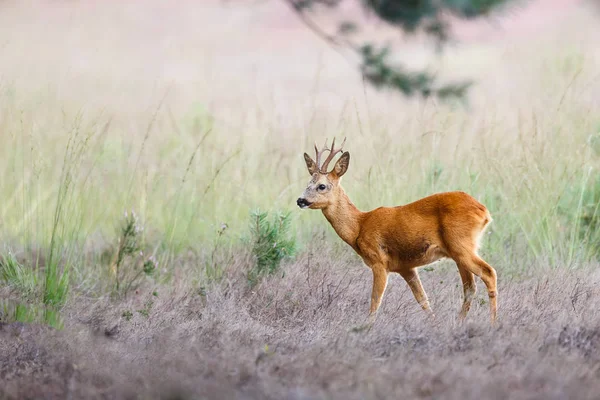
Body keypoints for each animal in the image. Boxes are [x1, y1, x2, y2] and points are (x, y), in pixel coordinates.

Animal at [298, 139, 500, 326]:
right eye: (308, 183)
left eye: (321, 186)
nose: (300, 200)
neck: (359, 226)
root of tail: (484, 211)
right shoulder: (406, 267)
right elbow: (423, 300)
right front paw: (434, 324)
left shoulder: (379, 261)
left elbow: (375, 302)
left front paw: (366, 329)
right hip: (458, 252)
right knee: (470, 287)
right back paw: (459, 322)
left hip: (461, 245)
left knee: (489, 273)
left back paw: (492, 323)